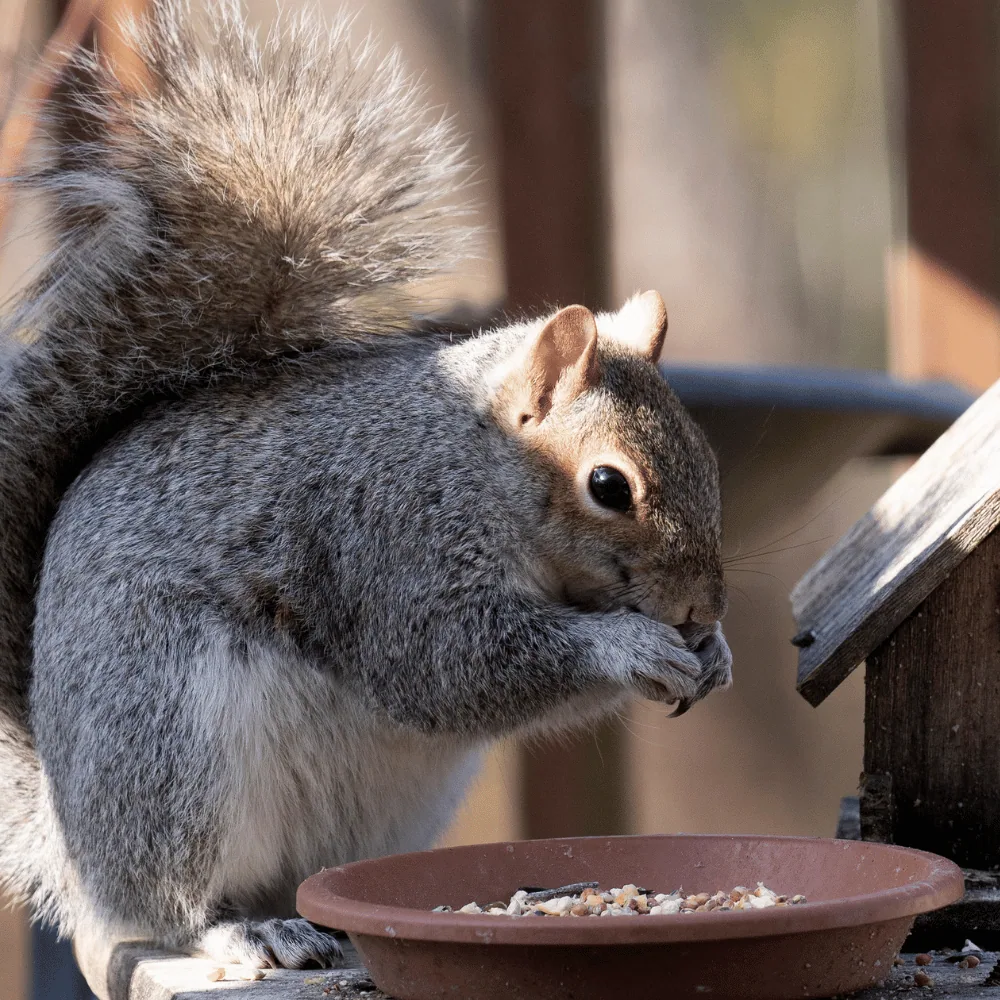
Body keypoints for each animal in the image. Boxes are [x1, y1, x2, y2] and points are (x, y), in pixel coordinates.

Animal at [0, 0, 731, 979]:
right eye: (608, 485)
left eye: (710, 462)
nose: (697, 609)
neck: (478, 463)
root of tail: (71, 841)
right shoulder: (386, 536)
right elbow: (448, 663)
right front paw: (632, 647)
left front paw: (714, 653)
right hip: (169, 748)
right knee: (167, 905)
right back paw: (244, 929)